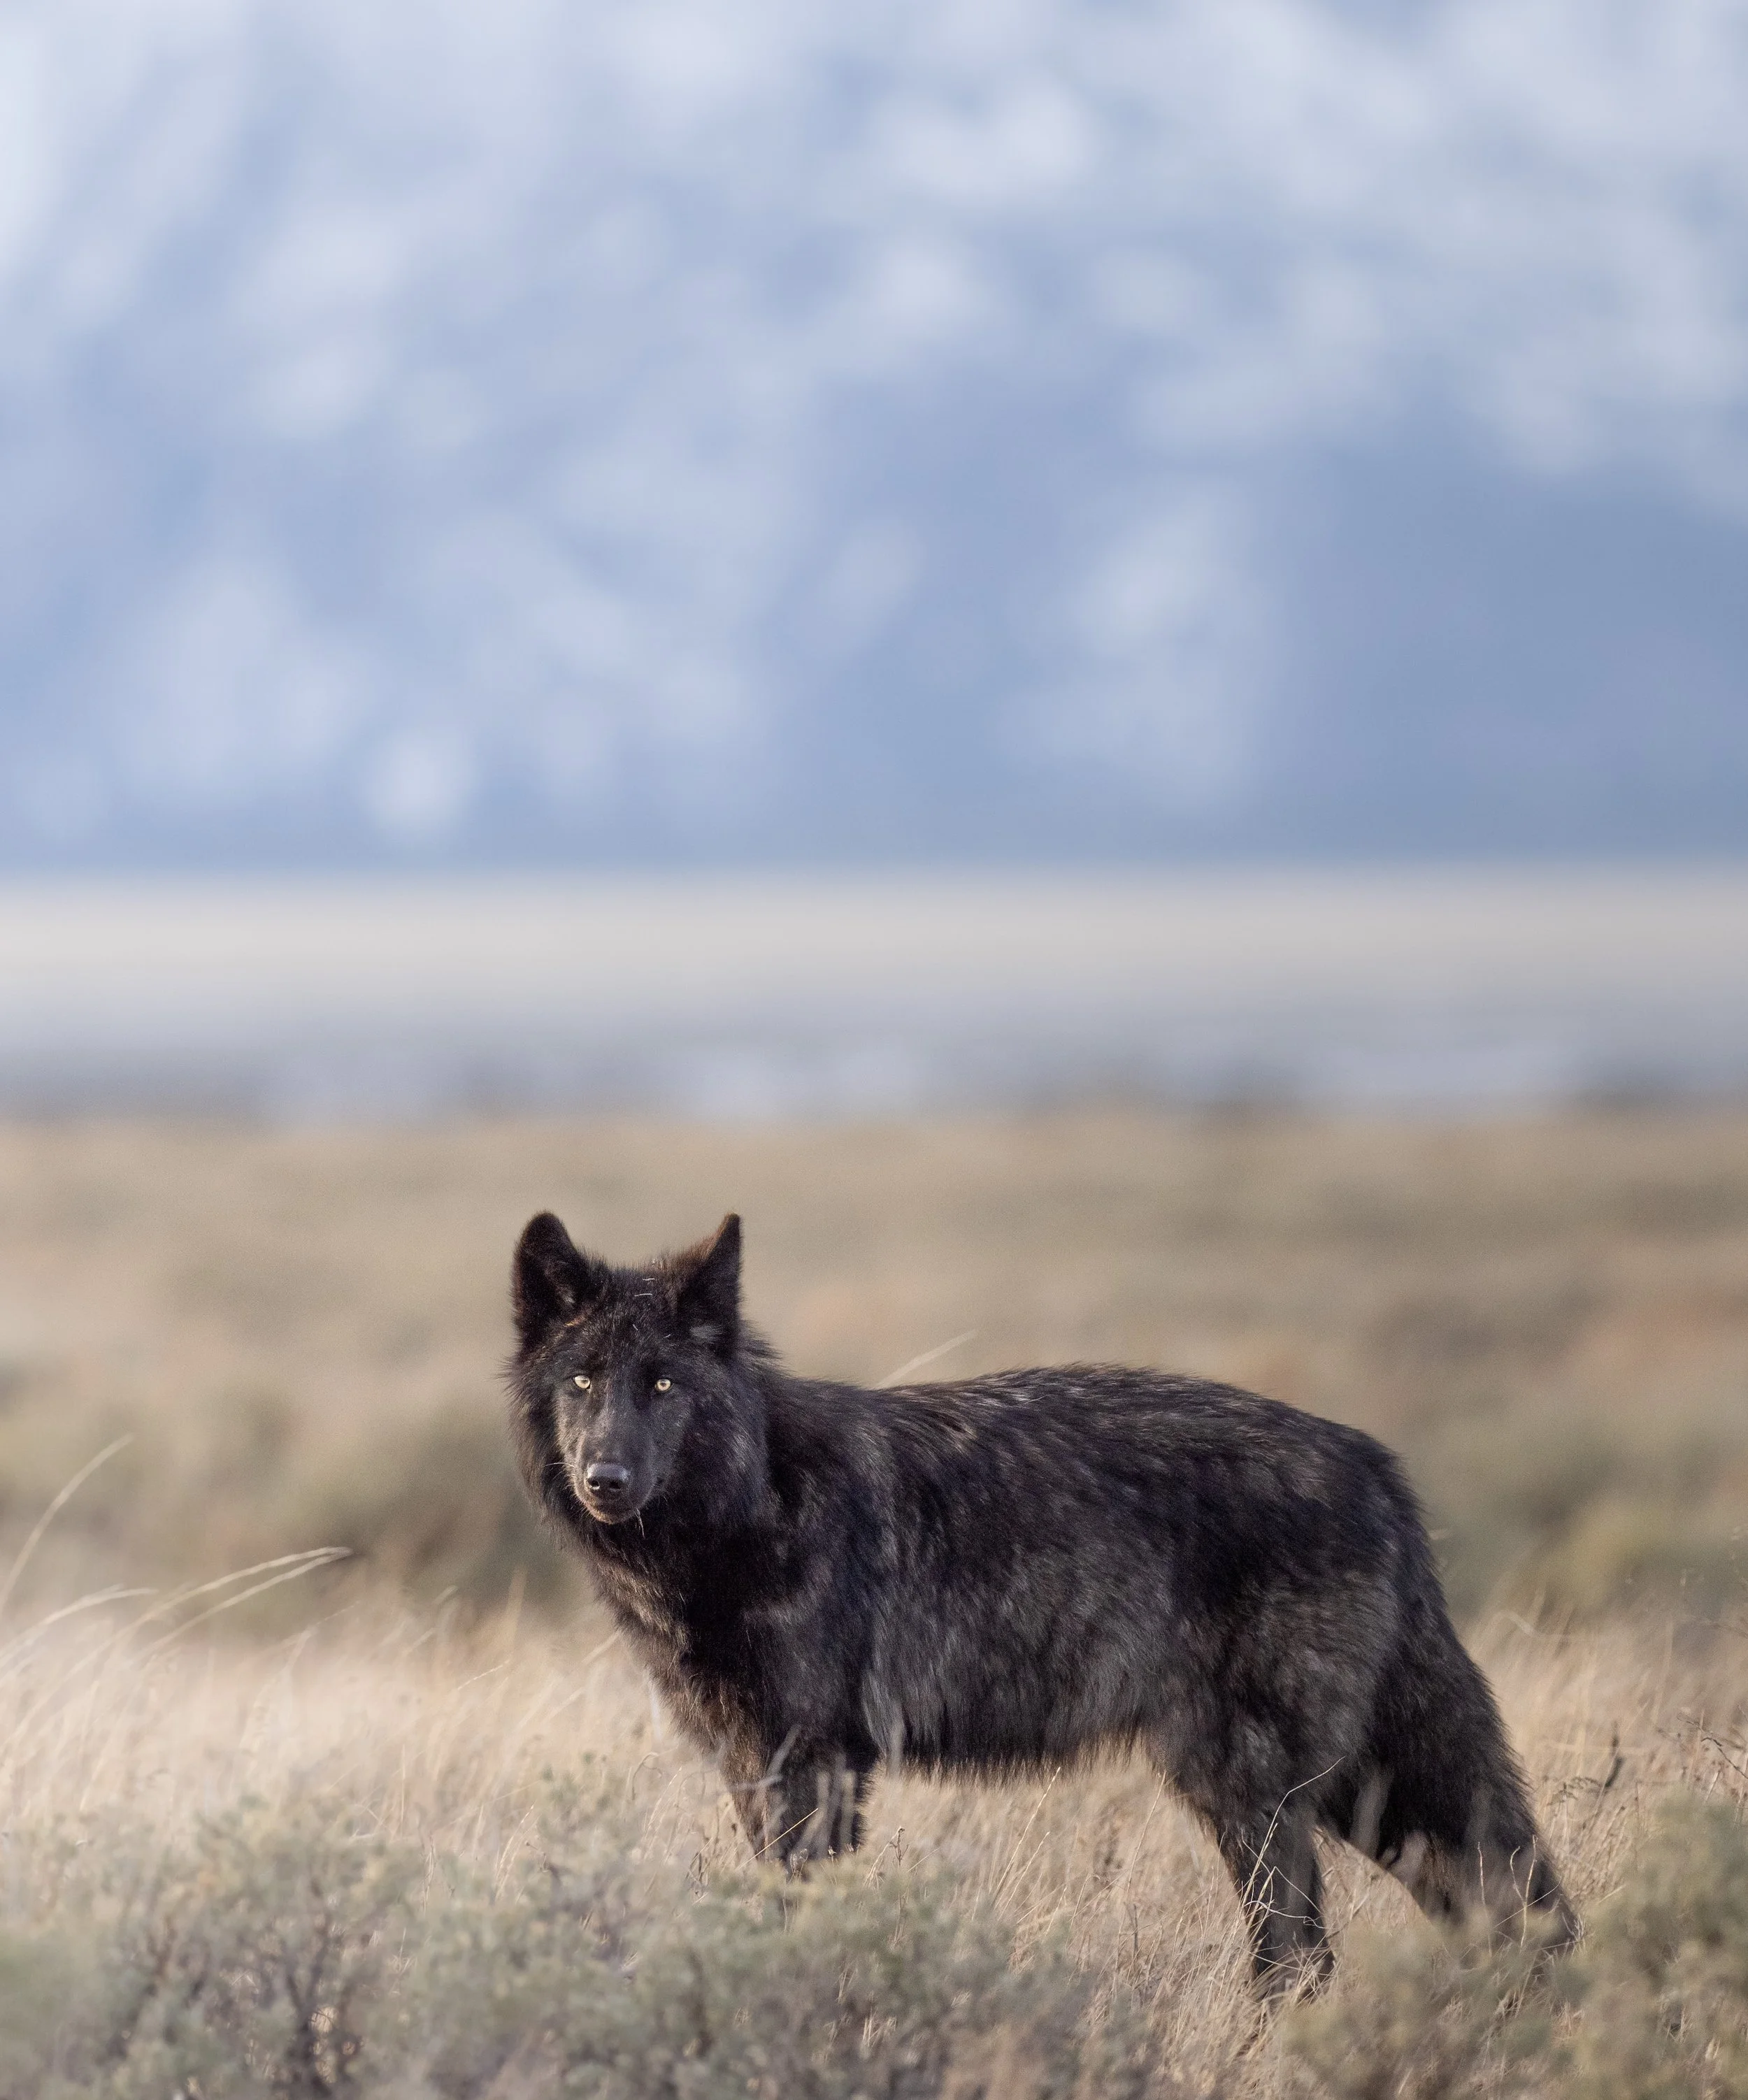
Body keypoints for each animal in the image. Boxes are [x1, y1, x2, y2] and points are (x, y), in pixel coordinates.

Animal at [508, 1209, 1576, 1992]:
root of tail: (1377, 1467)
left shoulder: (814, 1767)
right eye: (582, 1380)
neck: (752, 1502)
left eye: (662, 1384)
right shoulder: (752, 1766)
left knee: (1303, 1954)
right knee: (1504, 1899)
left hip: (1255, 1790)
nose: (606, 1478)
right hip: (1358, 1794)